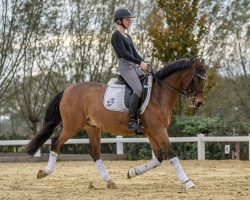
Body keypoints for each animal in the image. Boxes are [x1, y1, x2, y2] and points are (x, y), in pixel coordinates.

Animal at [25, 57, 207, 189]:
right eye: (198, 79)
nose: (199, 103)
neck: (159, 93)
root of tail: (67, 90)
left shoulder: (152, 132)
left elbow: (158, 158)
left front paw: (132, 172)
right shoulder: (158, 130)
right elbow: (171, 153)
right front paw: (187, 182)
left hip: (91, 127)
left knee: (94, 152)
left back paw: (110, 181)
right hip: (72, 125)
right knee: (56, 142)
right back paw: (44, 172)